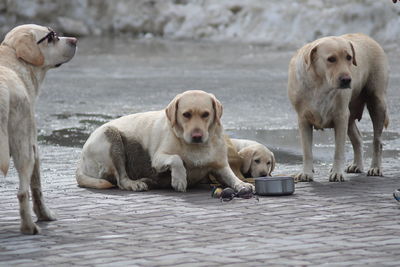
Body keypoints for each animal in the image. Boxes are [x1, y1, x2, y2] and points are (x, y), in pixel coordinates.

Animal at [0, 25, 77, 234]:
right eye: (51, 37)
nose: (75, 40)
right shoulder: (33, 146)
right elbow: (37, 187)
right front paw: (45, 215)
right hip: (23, 147)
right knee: (22, 192)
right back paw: (29, 227)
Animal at [76, 91, 255, 194]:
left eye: (206, 114)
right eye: (186, 114)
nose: (197, 136)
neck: (196, 147)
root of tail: (80, 163)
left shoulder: (220, 166)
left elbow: (232, 177)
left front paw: (242, 185)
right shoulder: (158, 158)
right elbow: (177, 159)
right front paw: (179, 179)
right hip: (112, 137)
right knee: (121, 180)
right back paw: (135, 184)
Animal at [290, 32, 390, 181]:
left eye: (349, 57)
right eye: (331, 59)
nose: (347, 80)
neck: (320, 83)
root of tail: (367, 37)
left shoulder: (340, 116)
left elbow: (339, 150)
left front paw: (337, 172)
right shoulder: (303, 119)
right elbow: (307, 151)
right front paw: (306, 173)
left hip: (377, 103)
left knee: (377, 141)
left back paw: (376, 167)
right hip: (350, 115)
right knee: (357, 138)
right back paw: (357, 165)